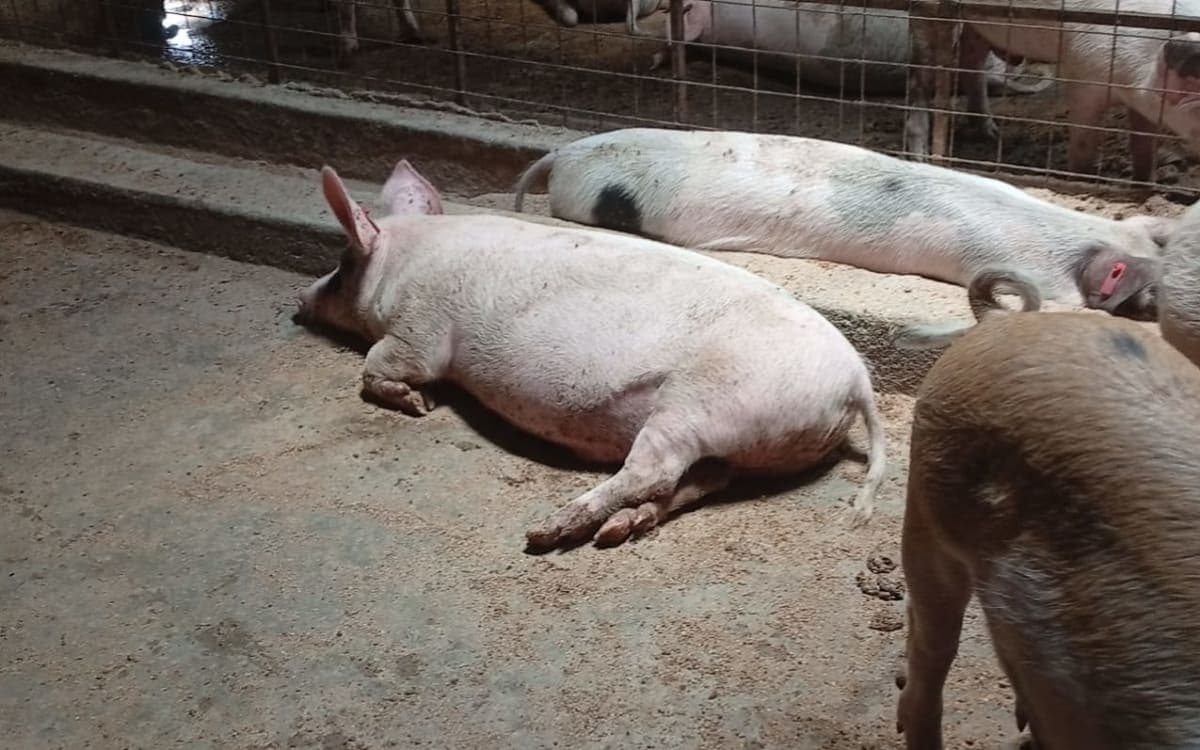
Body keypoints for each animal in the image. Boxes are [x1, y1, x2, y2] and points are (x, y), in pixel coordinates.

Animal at [294, 159, 888, 550]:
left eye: (342, 268)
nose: (299, 304)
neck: (403, 263)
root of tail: (857, 381)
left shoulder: (419, 330)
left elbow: (379, 367)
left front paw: (421, 405)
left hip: (700, 403)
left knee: (653, 471)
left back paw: (549, 530)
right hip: (740, 440)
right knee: (700, 480)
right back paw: (621, 529)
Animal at [905, 1, 1200, 181]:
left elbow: (1143, 147)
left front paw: (1145, 183)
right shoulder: (1082, 73)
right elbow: (1083, 145)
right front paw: (1080, 179)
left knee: (971, 59)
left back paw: (991, 133)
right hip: (928, 12)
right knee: (921, 75)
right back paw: (920, 156)